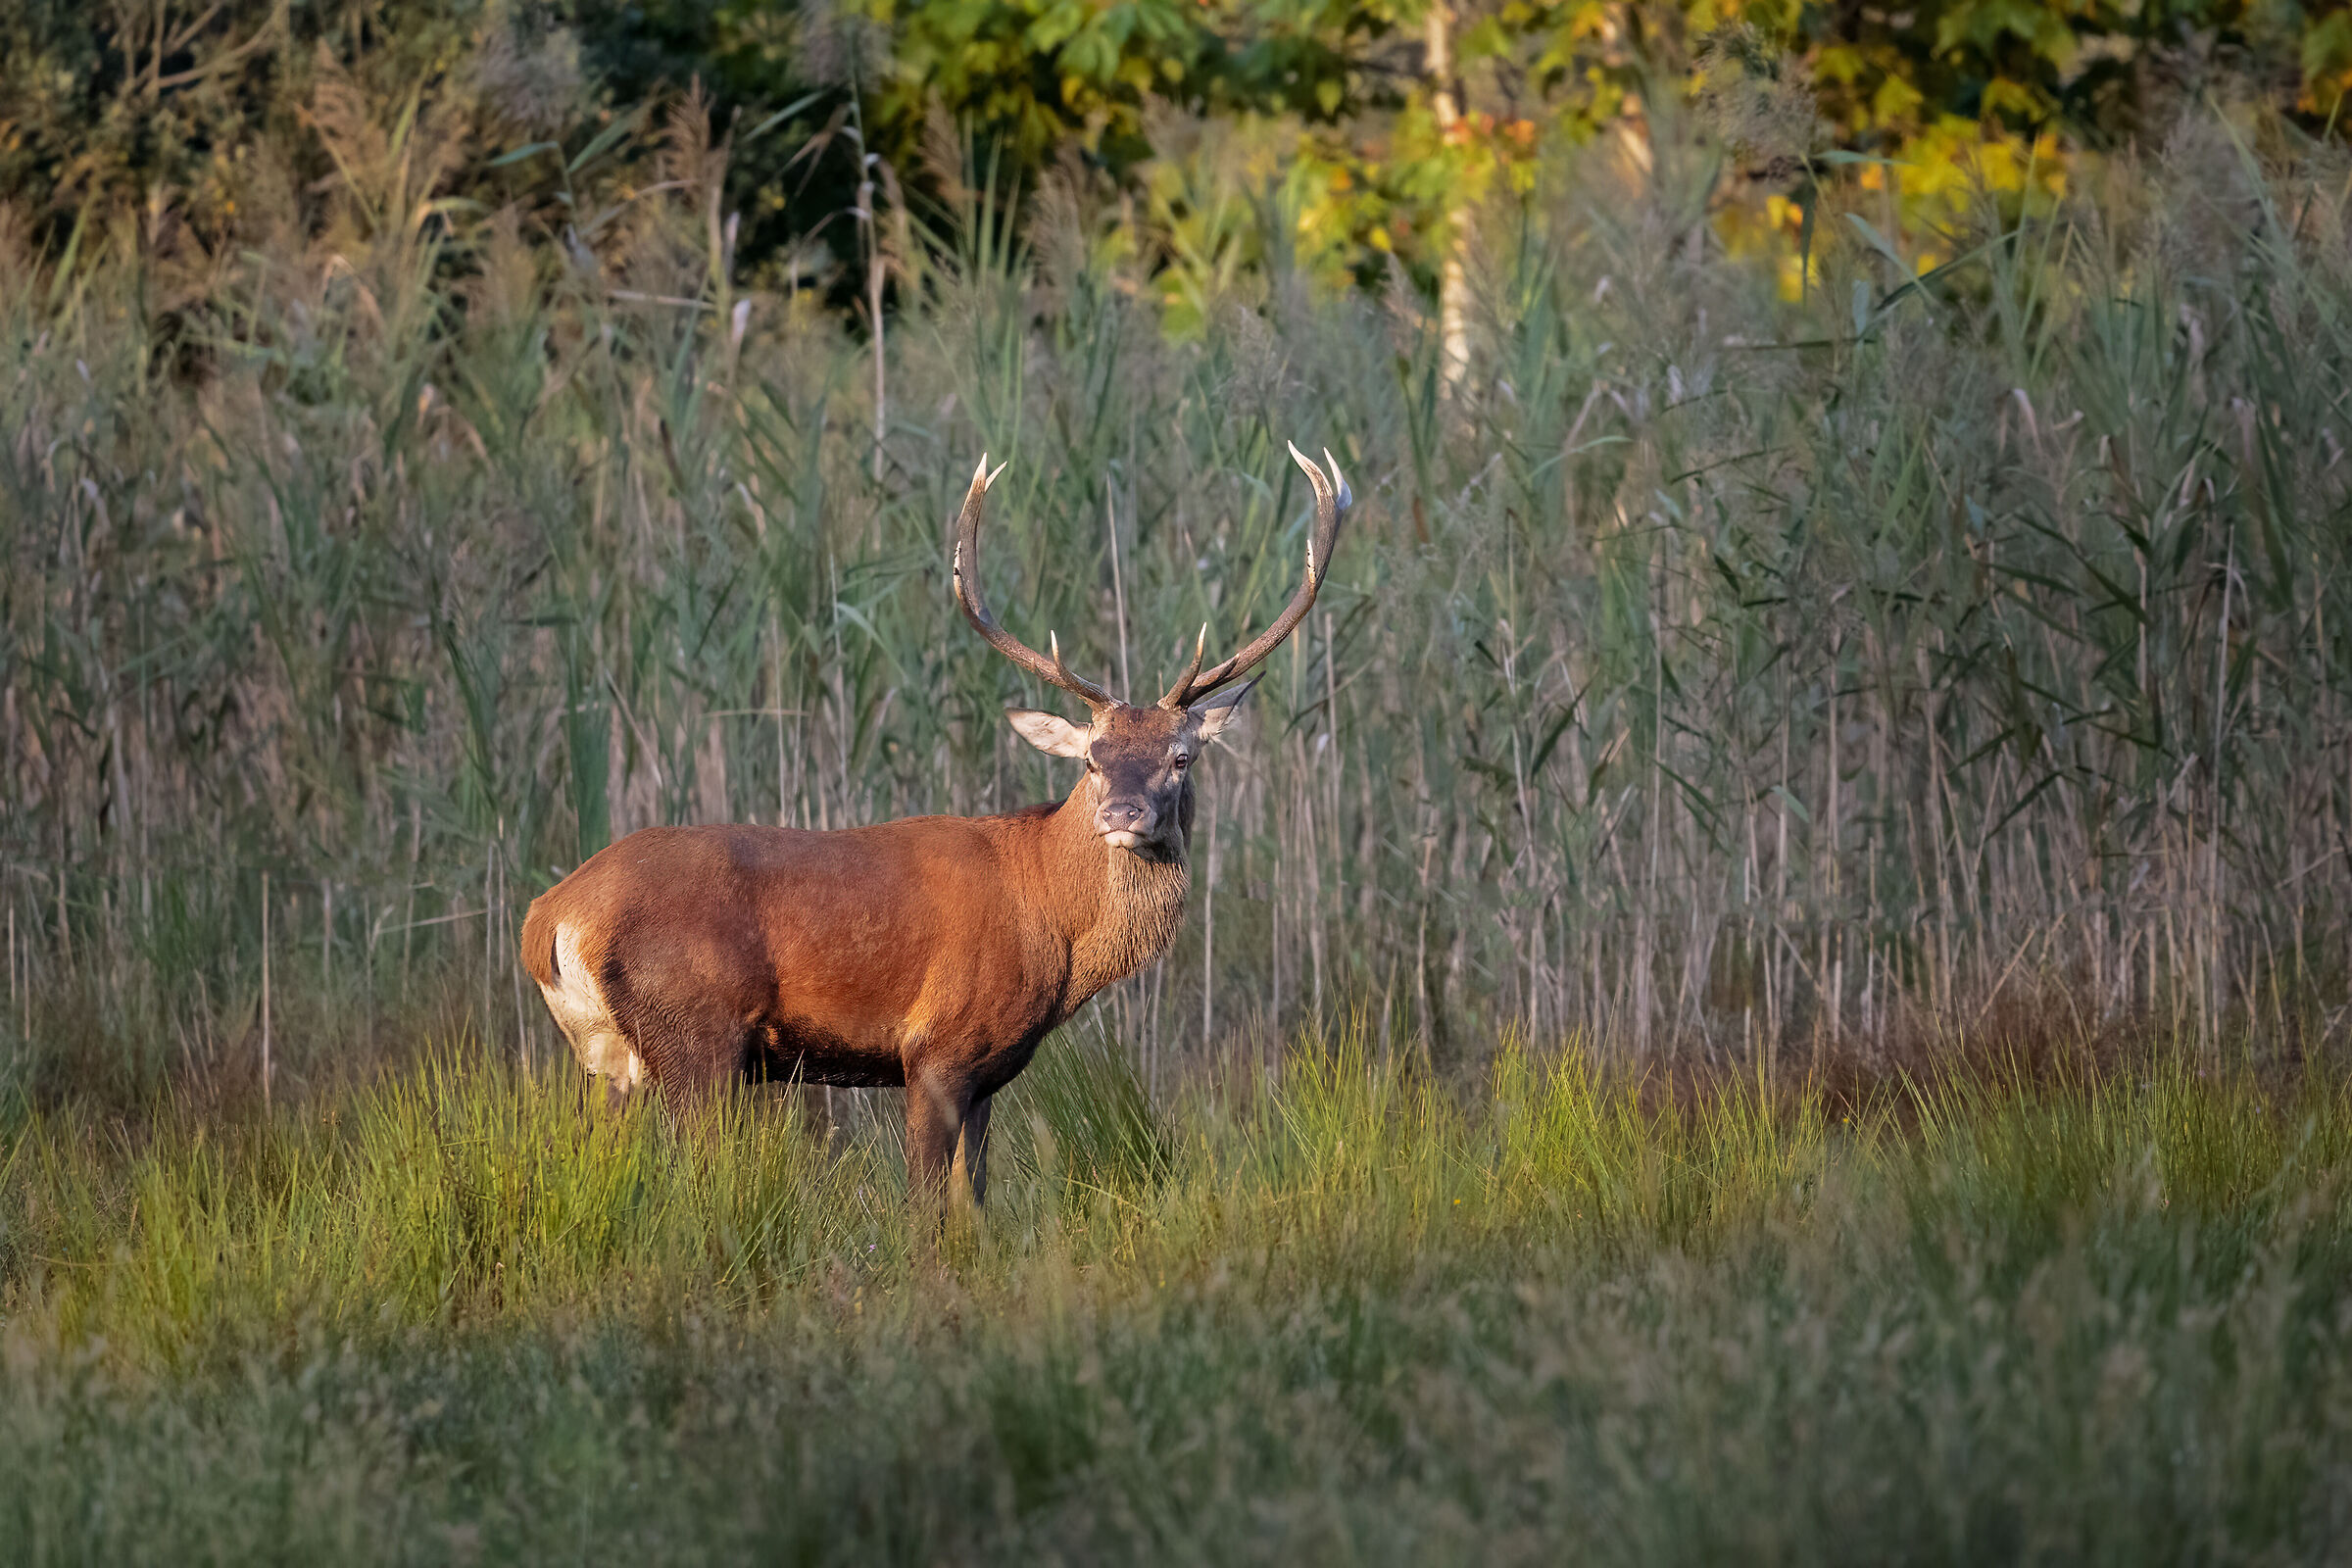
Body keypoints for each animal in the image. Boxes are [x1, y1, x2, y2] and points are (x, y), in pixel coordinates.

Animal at [520, 442, 1350, 1203]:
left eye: (1181, 757)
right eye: (1092, 758)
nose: (1122, 812)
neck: (1051, 921)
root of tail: (550, 917)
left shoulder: (987, 1075)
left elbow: (973, 1207)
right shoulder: (935, 1049)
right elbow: (925, 1215)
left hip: (612, 1058)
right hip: (696, 1033)